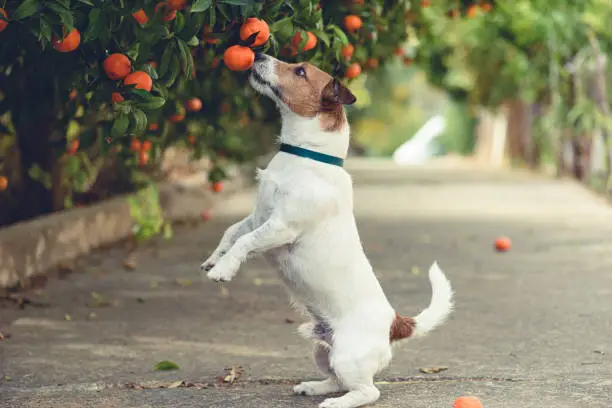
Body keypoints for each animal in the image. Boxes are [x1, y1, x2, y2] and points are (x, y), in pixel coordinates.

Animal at [202, 54, 454, 408]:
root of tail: (394, 322)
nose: (259, 54)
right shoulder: (258, 216)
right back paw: (314, 387)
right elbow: (231, 233)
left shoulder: (281, 226)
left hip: (348, 357)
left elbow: (246, 242)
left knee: (367, 391)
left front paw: (223, 271)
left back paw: (337, 403)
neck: (306, 156)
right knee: (335, 379)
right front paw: (214, 260)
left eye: (300, 71)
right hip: (323, 351)